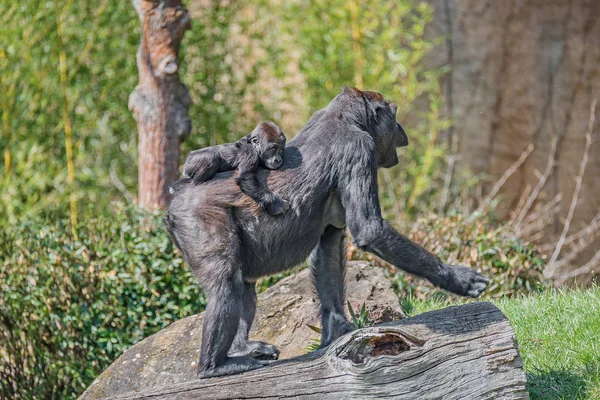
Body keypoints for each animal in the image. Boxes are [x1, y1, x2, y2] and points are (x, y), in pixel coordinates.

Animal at [164, 86, 488, 378]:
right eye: (394, 115)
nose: (402, 131)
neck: (346, 117)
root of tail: (177, 194)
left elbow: (330, 245)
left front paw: (336, 328)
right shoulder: (360, 148)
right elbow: (370, 229)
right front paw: (458, 278)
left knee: (244, 284)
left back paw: (242, 348)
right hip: (196, 216)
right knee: (226, 284)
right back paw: (216, 366)